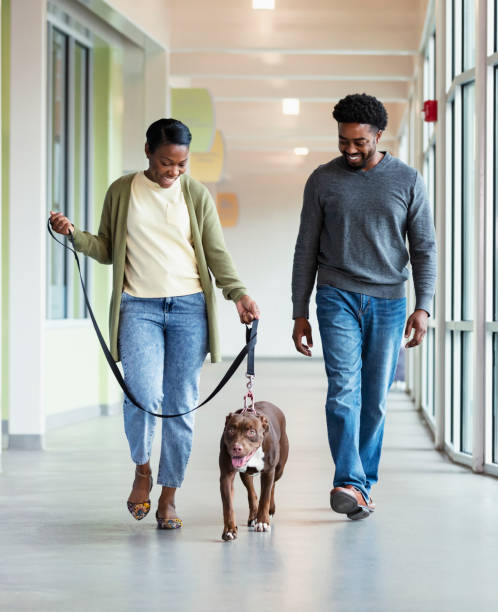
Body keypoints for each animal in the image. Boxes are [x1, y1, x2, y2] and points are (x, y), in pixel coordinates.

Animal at [218, 402, 288, 540]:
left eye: (251, 432)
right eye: (231, 430)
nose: (237, 448)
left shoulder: (268, 472)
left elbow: (265, 497)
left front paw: (262, 522)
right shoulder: (226, 476)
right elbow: (228, 505)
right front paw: (229, 530)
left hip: (279, 469)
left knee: (272, 486)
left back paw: (270, 509)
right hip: (245, 474)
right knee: (252, 493)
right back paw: (253, 515)